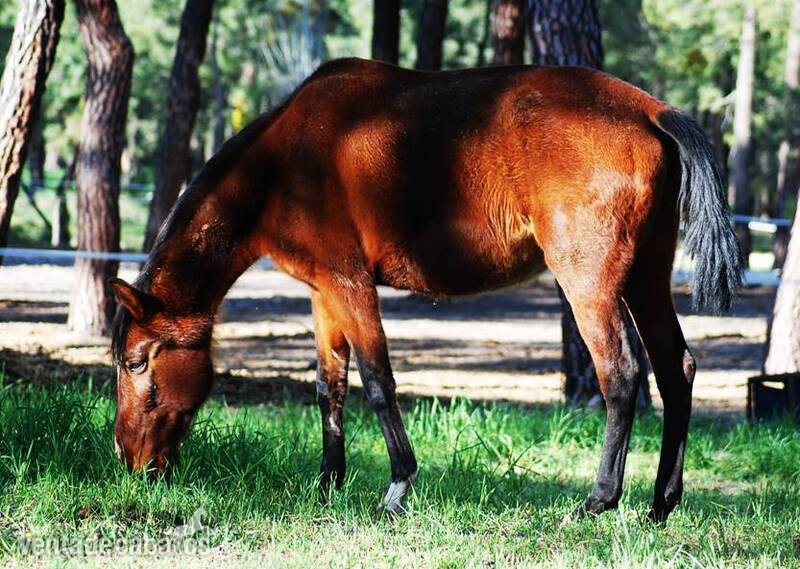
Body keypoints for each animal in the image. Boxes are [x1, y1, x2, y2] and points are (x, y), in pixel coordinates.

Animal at [110, 57, 741, 522]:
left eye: (138, 362)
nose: (128, 457)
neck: (282, 165)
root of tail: (650, 110)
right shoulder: (323, 293)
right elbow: (328, 388)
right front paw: (327, 484)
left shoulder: (350, 285)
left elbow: (378, 382)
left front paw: (397, 487)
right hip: (646, 278)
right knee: (675, 369)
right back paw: (660, 505)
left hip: (590, 283)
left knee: (622, 374)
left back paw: (598, 500)